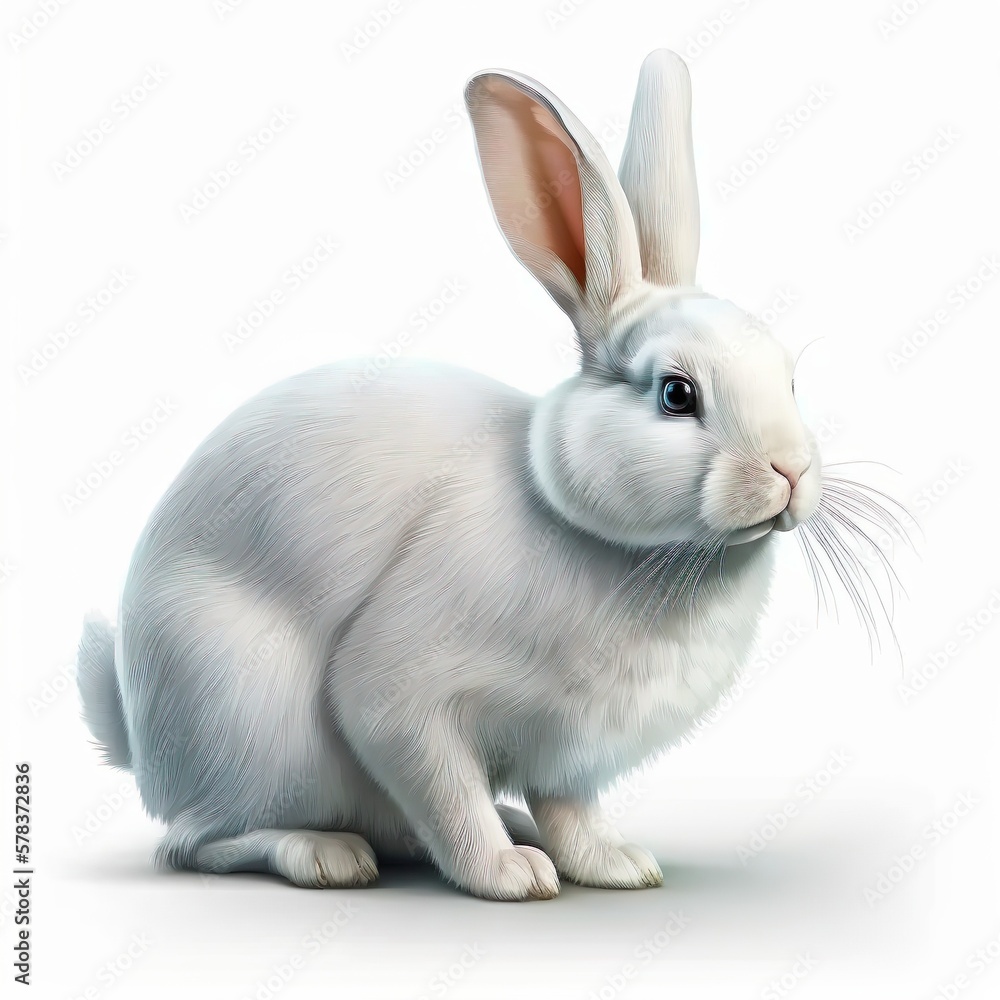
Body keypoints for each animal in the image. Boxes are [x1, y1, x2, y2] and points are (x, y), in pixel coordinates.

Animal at [77, 49, 825, 901]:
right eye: (677, 394)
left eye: (789, 378)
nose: (792, 471)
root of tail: (138, 737)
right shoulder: (404, 696)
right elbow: (443, 785)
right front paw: (508, 876)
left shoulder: (570, 752)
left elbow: (570, 810)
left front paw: (614, 865)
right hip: (245, 718)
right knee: (198, 841)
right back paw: (322, 853)